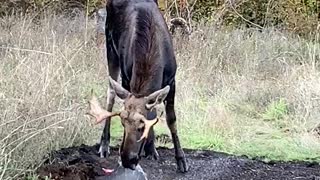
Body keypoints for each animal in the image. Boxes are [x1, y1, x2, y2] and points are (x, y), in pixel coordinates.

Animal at [87, 0, 188, 173]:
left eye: (142, 126)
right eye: (122, 123)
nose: (128, 160)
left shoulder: (172, 80)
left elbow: (170, 119)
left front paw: (179, 159)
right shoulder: (127, 78)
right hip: (110, 46)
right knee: (110, 93)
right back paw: (104, 145)